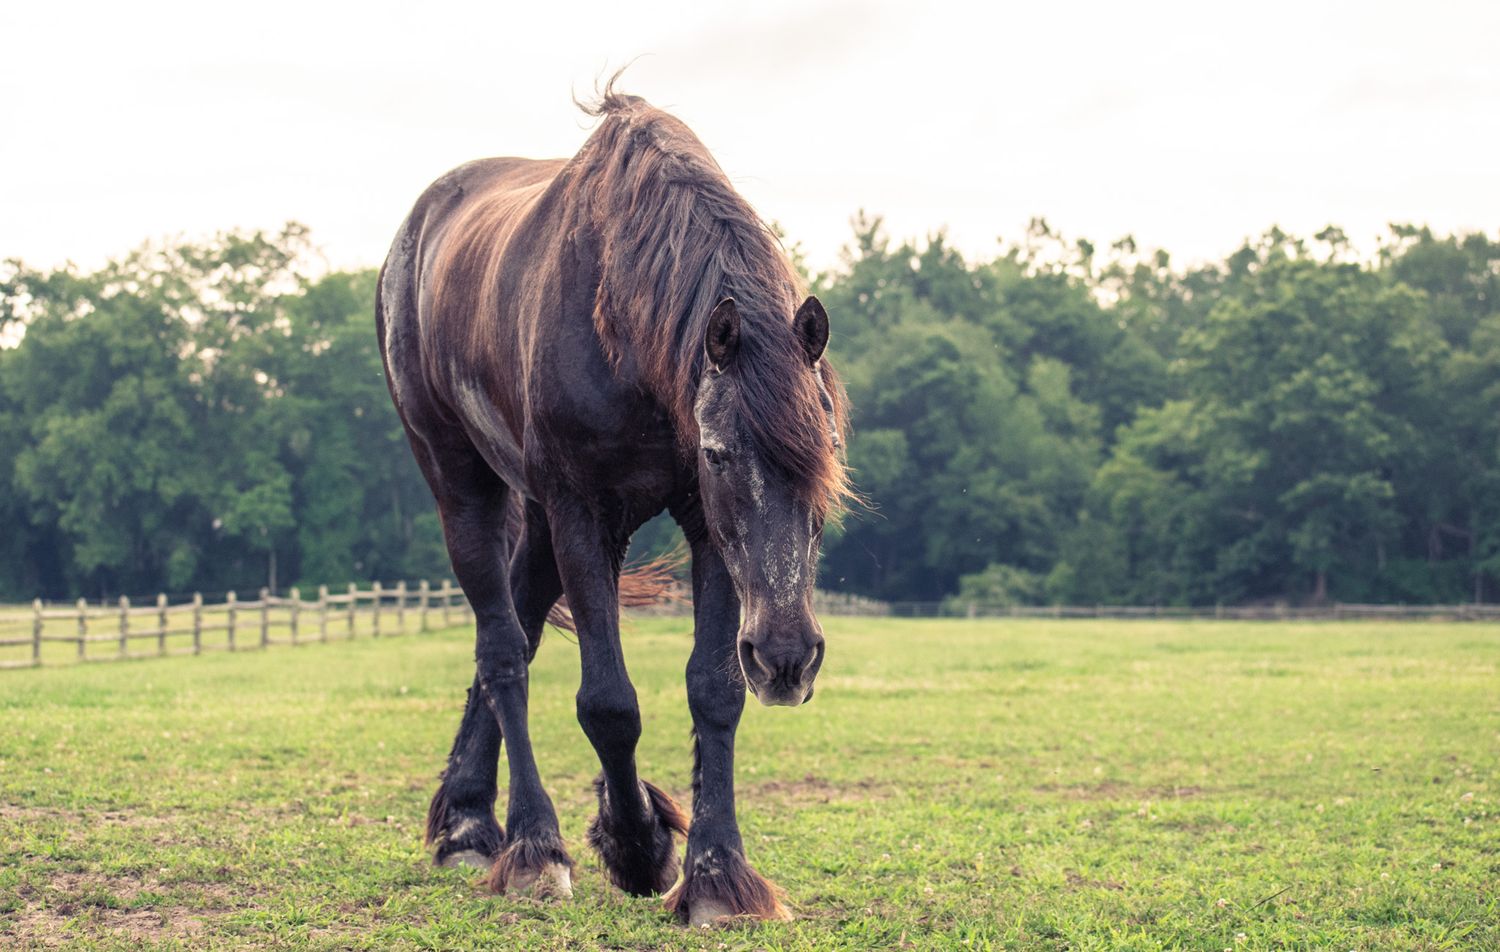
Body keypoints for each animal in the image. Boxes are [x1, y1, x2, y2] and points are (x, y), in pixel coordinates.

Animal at [375, 85, 851, 926]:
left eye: (826, 456)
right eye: (721, 453)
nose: (789, 658)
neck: (624, 325)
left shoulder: (707, 531)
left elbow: (714, 689)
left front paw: (718, 876)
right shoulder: (584, 515)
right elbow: (609, 704)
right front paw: (637, 846)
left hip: (535, 523)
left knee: (515, 634)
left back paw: (468, 815)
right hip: (464, 484)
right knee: (503, 652)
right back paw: (522, 843)